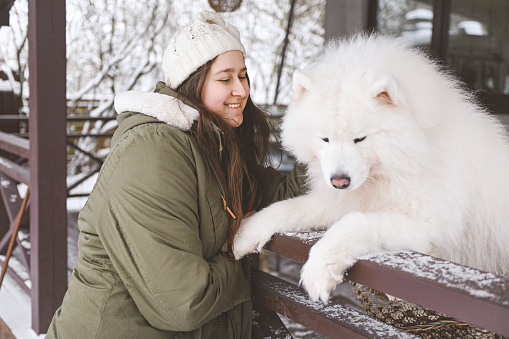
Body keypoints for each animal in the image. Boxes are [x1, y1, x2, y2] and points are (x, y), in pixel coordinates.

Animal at [232, 34, 508, 304]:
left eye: (360, 139)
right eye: (325, 139)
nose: (339, 182)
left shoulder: (426, 224)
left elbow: (353, 224)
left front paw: (318, 271)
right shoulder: (338, 201)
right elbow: (285, 208)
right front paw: (244, 234)